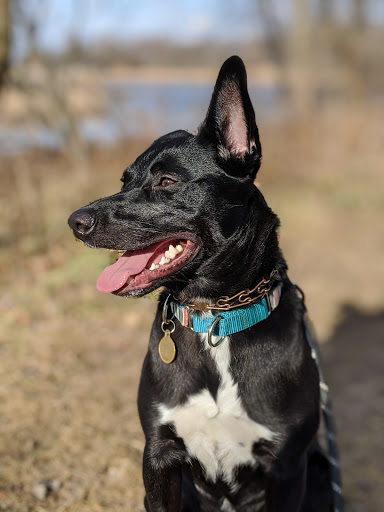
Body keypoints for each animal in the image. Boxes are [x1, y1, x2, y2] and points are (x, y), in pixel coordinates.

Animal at [68, 56, 336, 512]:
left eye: (167, 182)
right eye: (124, 181)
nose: (75, 222)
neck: (215, 317)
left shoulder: (286, 465)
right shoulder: (158, 457)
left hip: (318, 473)